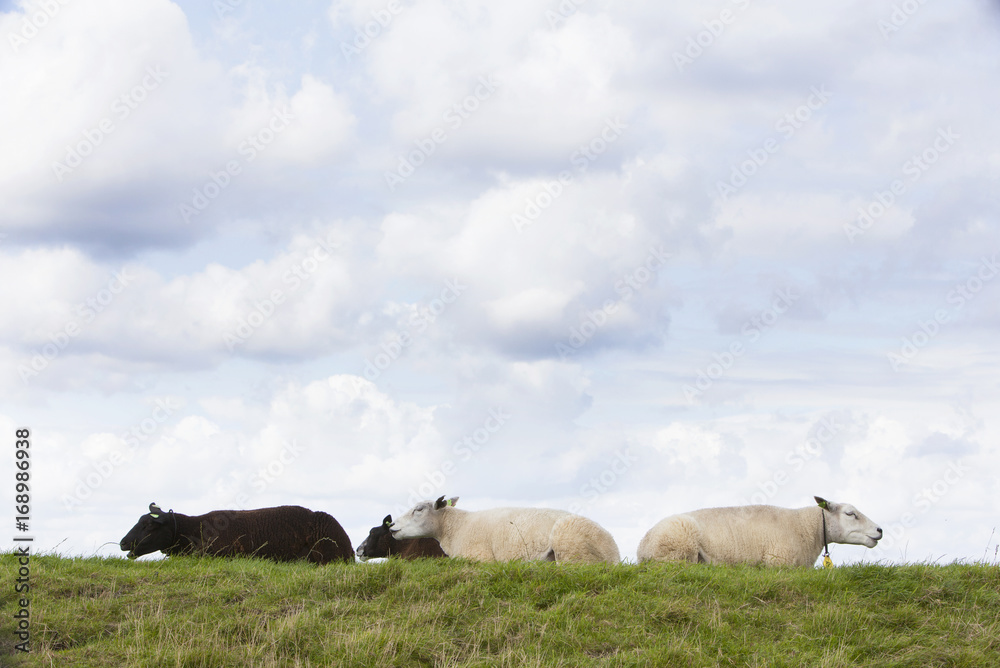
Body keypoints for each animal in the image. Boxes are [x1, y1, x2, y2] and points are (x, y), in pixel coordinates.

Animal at [390, 496, 620, 564]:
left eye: (419, 509)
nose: (391, 526)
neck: (455, 527)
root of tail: (614, 553)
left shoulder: (479, 557)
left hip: (571, 545)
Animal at [636, 496, 882, 567]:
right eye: (850, 513)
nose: (880, 530)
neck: (805, 527)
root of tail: (642, 546)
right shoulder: (777, 562)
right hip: (679, 548)